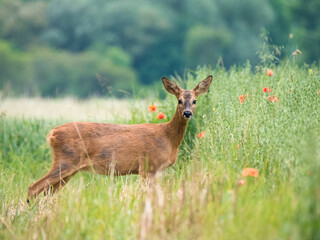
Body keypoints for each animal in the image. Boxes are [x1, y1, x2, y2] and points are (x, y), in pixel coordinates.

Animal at [27, 75, 212, 201]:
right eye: (179, 100)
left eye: (194, 101)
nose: (187, 113)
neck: (168, 138)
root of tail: (51, 134)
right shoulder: (148, 165)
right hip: (66, 160)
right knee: (34, 187)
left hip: (69, 169)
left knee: (48, 193)